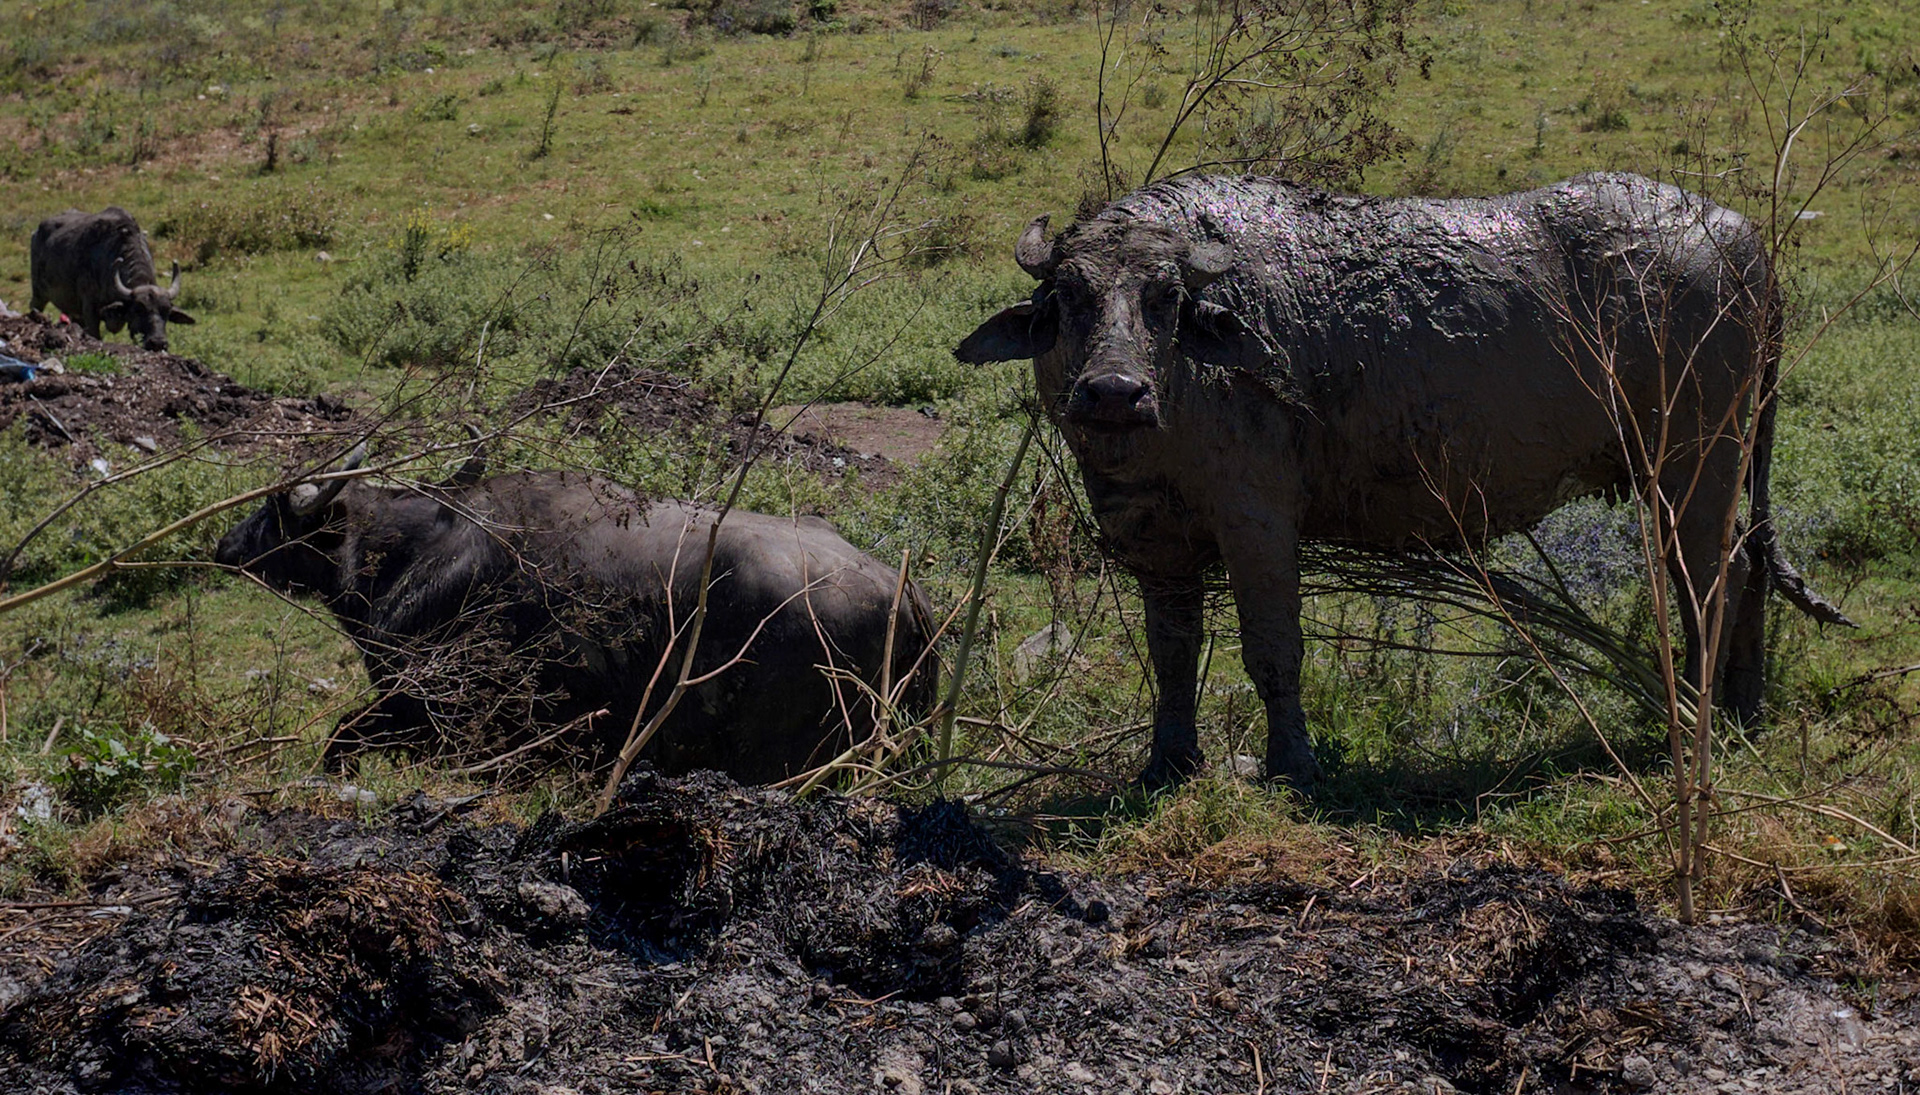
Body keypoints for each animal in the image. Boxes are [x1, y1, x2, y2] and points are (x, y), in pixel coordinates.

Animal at [30, 207, 194, 352]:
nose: (158, 343)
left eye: (167, 311)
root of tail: (36, 232)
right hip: (39, 293)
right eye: (138, 309)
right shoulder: (90, 311)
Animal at [214, 446, 936, 783]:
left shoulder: (430, 714)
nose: (224, 546)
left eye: (272, 510)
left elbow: (339, 741)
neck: (425, 548)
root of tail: (904, 594)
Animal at [957, 172, 1848, 792]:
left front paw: (1292, 764)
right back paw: (1739, 711)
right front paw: (1168, 764)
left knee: (1711, 576)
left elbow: (1273, 646)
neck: (1183, 393)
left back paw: (1695, 718)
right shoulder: (1156, 539)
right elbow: (1172, 651)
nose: (1113, 391)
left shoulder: (1257, 520)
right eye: (1069, 296)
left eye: (1165, 298)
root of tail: (1744, 242)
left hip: (1697, 459)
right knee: (1746, 564)